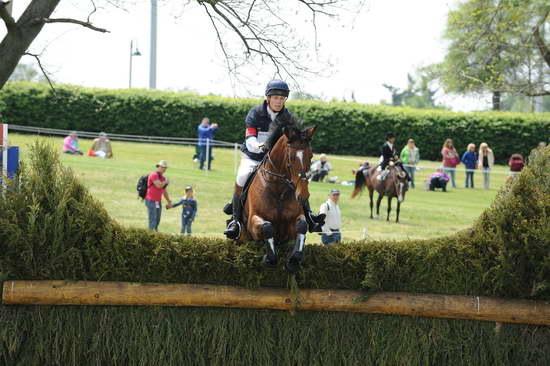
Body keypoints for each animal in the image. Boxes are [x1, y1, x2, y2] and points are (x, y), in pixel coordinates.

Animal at [238, 124, 320, 274]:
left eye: (311, 155)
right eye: (291, 157)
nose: (303, 195)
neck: (279, 190)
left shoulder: (293, 224)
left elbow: (302, 225)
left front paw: (294, 260)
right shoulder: (253, 222)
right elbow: (267, 227)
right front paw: (269, 258)